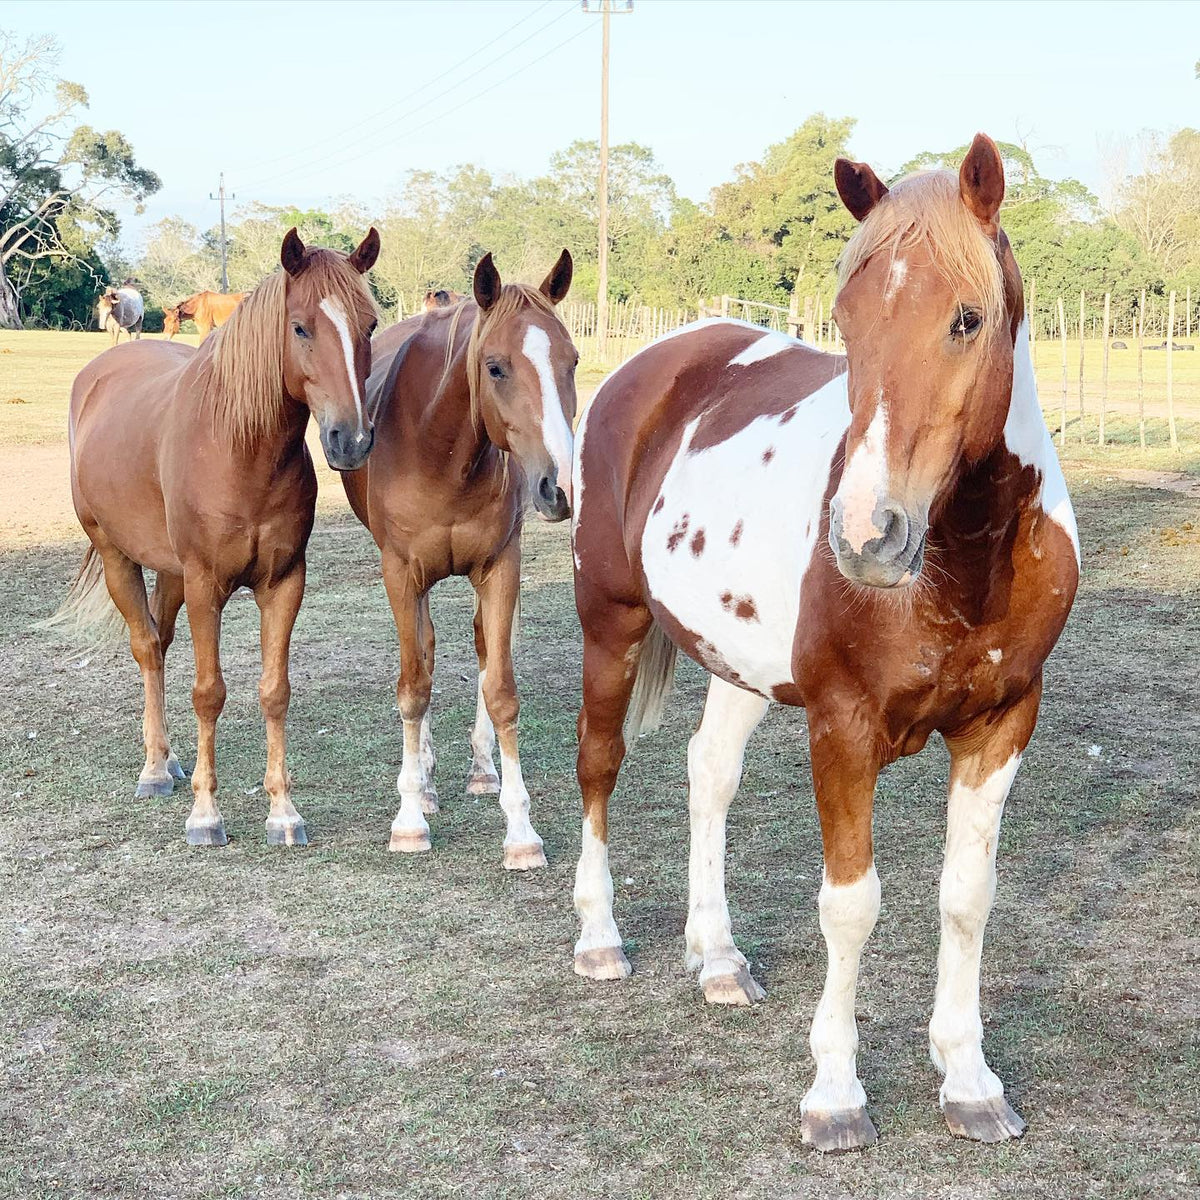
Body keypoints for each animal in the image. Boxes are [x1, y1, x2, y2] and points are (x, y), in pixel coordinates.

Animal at [51, 227, 381, 848]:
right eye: (300, 327)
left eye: (370, 325)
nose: (349, 440)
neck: (239, 451)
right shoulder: (208, 585)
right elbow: (209, 693)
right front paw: (206, 814)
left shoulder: (283, 584)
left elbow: (274, 691)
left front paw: (283, 812)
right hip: (118, 557)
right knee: (146, 648)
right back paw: (155, 770)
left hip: (170, 573)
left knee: (160, 643)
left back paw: (170, 760)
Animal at [342, 250, 576, 868]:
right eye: (495, 367)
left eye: (571, 361)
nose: (560, 487)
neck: (441, 449)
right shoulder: (401, 573)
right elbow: (413, 687)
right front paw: (409, 818)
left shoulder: (500, 567)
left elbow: (500, 689)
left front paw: (521, 830)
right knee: (422, 653)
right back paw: (423, 783)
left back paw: (480, 769)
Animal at [568, 134, 1080, 1151]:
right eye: (847, 317)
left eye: (967, 319)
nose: (864, 536)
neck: (963, 566)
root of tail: (648, 365)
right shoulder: (841, 728)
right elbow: (851, 906)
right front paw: (836, 1093)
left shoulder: (1003, 724)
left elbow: (966, 898)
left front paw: (969, 1079)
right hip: (611, 625)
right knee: (599, 763)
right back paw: (600, 937)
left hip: (737, 664)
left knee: (709, 772)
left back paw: (719, 956)